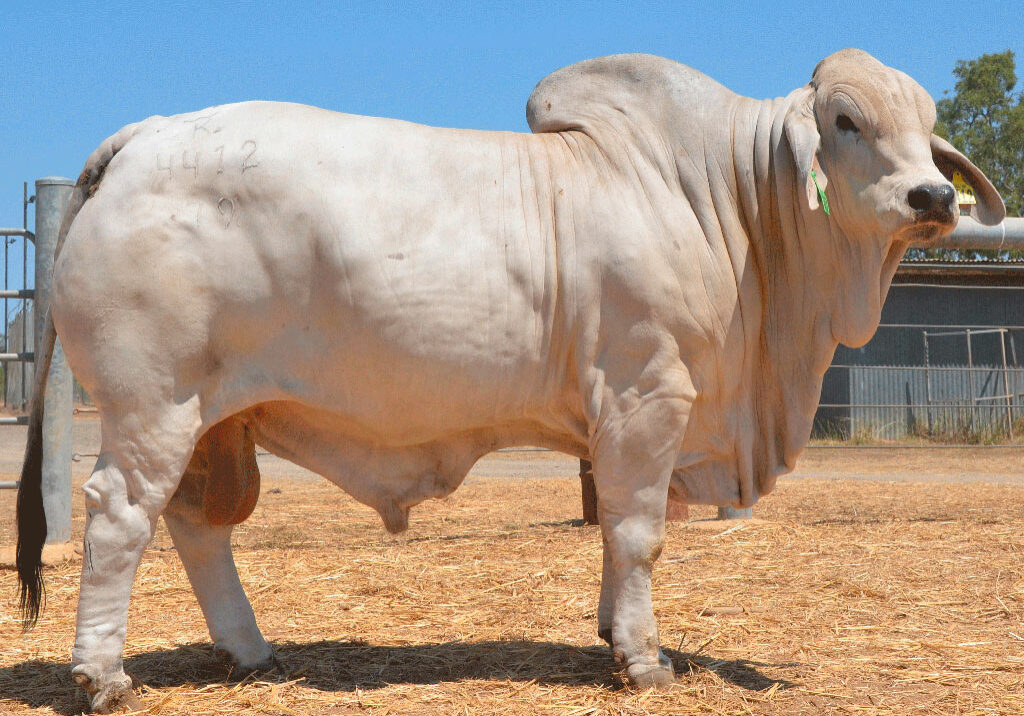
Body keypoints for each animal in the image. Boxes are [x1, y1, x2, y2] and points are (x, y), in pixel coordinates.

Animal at [16, 49, 1003, 712]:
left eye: (924, 130)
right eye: (845, 121)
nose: (931, 198)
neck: (727, 201)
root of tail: (143, 138)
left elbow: (614, 532)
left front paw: (610, 632)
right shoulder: (649, 397)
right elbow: (639, 533)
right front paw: (644, 660)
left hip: (216, 416)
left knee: (194, 525)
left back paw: (251, 651)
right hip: (153, 405)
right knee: (120, 518)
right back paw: (102, 674)